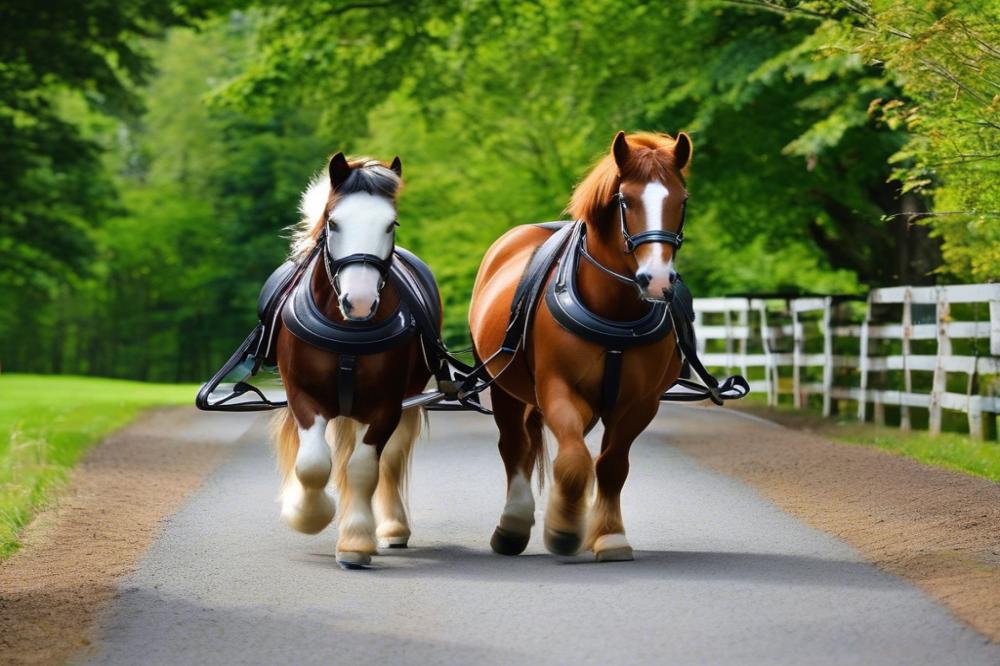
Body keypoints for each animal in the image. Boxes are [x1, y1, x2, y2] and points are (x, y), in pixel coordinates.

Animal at [272, 154, 432, 564]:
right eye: (333, 222)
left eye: (391, 224)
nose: (358, 302)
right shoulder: (302, 396)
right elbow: (313, 465)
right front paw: (307, 514)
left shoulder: (387, 404)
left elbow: (363, 468)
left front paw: (356, 541)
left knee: (389, 460)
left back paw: (392, 527)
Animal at [466, 131, 688, 560]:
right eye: (625, 200)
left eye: (681, 200)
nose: (656, 280)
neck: (614, 311)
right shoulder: (557, 387)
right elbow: (572, 461)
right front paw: (564, 529)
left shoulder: (641, 402)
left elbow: (611, 464)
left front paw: (609, 535)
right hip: (503, 385)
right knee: (514, 446)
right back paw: (513, 524)